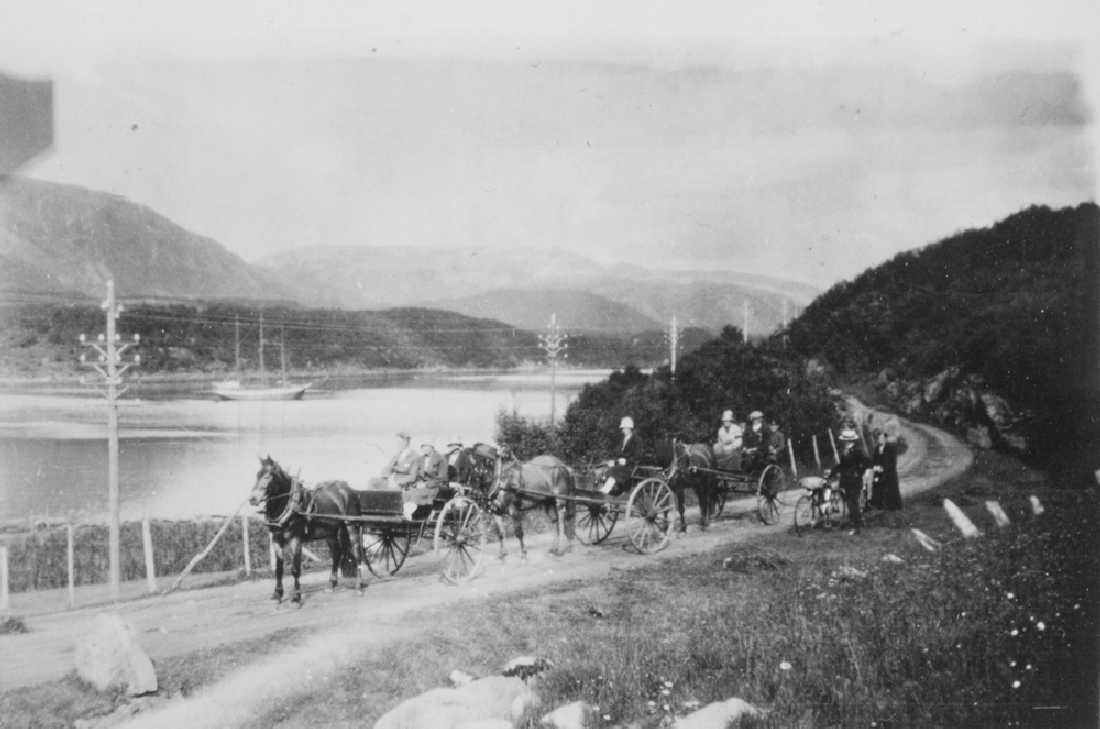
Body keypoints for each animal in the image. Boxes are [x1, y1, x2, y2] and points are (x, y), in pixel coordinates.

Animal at [249, 457, 369, 602]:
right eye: (257, 475)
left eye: (268, 476)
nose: (252, 499)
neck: (289, 505)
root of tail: (350, 492)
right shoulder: (276, 540)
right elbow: (278, 569)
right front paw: (278, 593)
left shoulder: (295, 540)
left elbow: (295, 569)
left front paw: (296, 597)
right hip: (330, 533)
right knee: (336, 553)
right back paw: (331, 584)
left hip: (351, 526)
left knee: (357, 553)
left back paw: (359, 587)